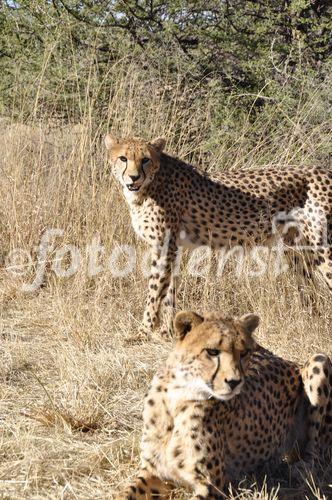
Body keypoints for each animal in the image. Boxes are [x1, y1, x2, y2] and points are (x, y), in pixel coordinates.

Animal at [104, 135, 332, 336]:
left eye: (145, 159)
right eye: (123, 158)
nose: (134, 177)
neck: (150, 184)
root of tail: (324, 170)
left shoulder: (164, 246)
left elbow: (154, 291)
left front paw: (142, 332)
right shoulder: (174, 248)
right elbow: (168, 292)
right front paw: (167, 331)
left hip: (323, 246)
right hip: (295, 248)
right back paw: (311, 320)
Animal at [116, 310, 332, 498]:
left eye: (244, 353)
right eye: (212, 351)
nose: (235, 382)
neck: (177, 398)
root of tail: (286, 360)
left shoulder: (212, 484)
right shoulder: (153, 471)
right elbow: (125, 493)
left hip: (319, 360)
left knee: (317, 455)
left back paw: (300, 469)